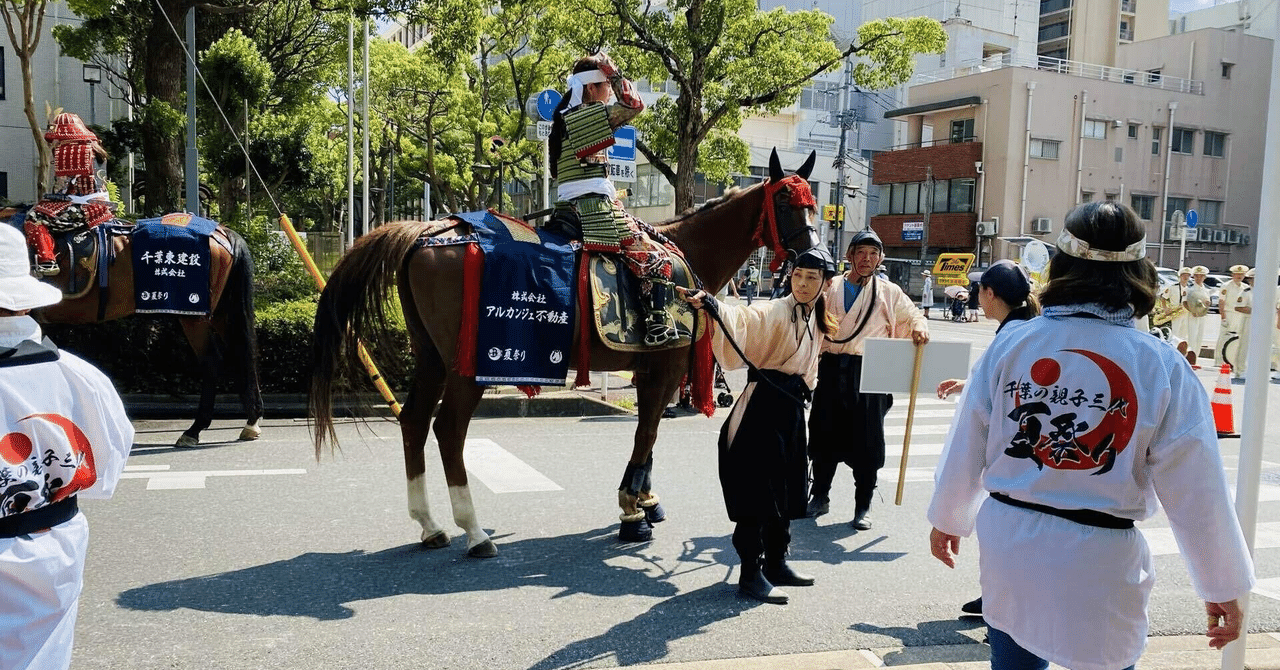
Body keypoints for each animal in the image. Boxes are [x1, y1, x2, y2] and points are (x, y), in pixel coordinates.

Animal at [0, 204, 262, 445]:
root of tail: (222, 232)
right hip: (221, 312)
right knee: (241, 353)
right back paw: (251, 420)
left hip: (194, 315)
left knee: (211, 361)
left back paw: (195, 429)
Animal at [304, 149, 814, 558]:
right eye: (787, 205)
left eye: (811, 206)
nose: (819, 260)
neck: (685, 255)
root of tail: (427, 232)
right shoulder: (665, 368)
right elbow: (646, 435)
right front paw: (631, 511)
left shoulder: (650, 371)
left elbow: (648, 441)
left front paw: (645, 500)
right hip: (467, 367)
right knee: (447, 430)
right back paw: (474, 532)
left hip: (430, 358)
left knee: (412, 421)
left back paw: (430, 526)